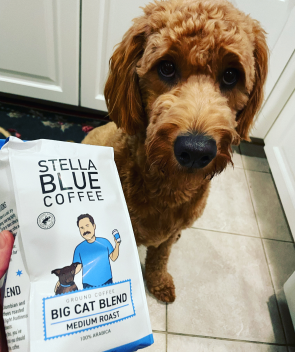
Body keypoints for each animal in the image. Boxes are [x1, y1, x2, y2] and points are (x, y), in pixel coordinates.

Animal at [82, 0, 268, 302]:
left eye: (231, 75)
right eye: (167, 67)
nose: (195, 150)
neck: (168, 186)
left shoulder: (167, 237)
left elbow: (161, 256)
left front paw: (157, 282)